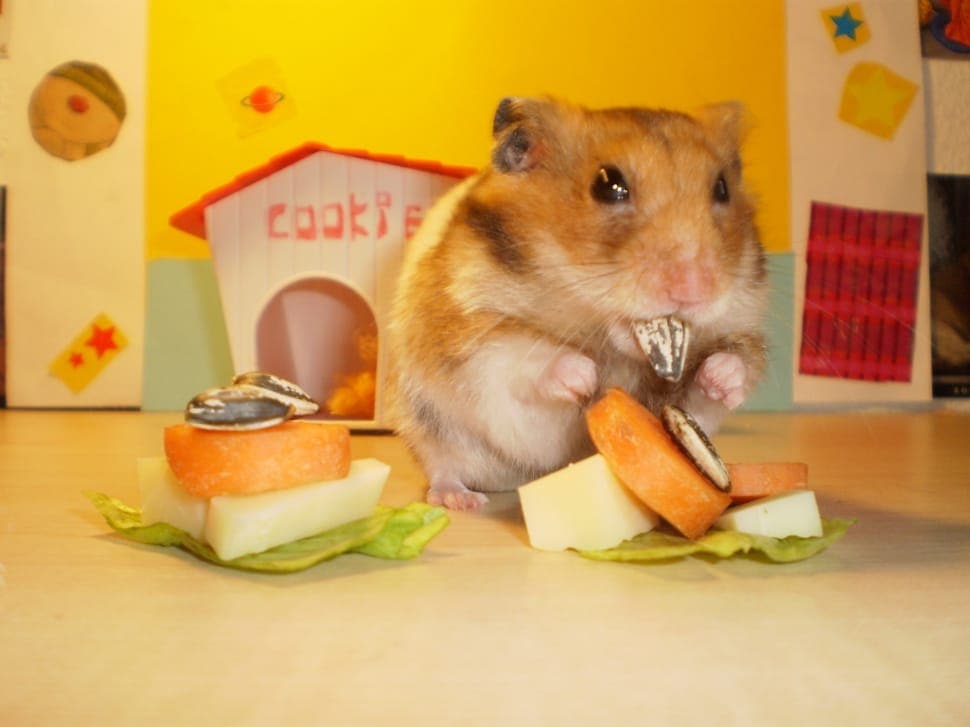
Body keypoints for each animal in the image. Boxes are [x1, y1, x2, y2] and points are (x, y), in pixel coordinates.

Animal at [388, 96, 768, 511]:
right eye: (608, 185)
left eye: (722, 188)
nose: (695, 288)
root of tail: (505, 483)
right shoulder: (474, 337)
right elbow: (524, 356)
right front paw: (585, 380)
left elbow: (725, 371)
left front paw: (722, 377)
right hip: (424, 422)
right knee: (442, 465)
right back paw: (461, 500)